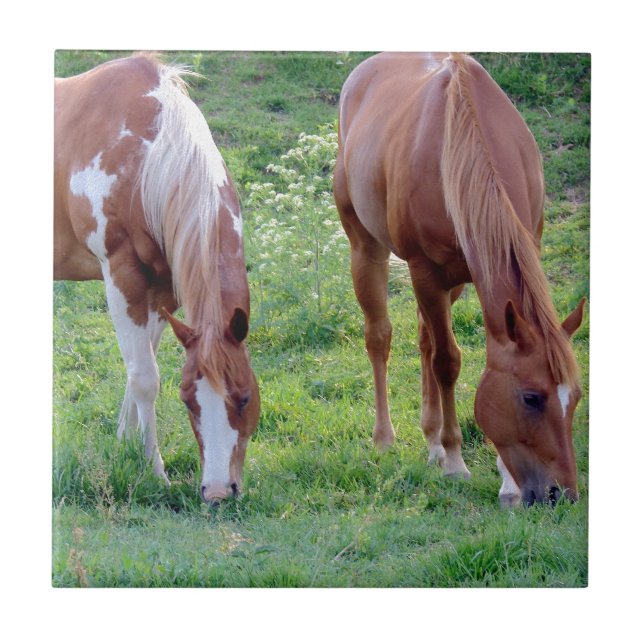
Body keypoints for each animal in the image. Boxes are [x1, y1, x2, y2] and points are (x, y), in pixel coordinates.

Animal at [54, 54, 260, 504]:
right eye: (188, 401)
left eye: (244, 397)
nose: (218, 491)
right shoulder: (122, 276)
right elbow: (146, 378)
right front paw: (154, 471)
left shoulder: (163, 291)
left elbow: (137, 367)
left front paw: (124, 443)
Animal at [333, 52, 585, 506]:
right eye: (531, 398)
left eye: (574, 398)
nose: (562, 494)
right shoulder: (426, 273)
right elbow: (447, 362)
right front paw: (454, 460)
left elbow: (459, 355)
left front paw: (504, 481)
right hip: (367, 250)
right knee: (380, 337)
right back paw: (386, 439)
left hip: (455, 283)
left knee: (423, 339)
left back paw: (431, 439)